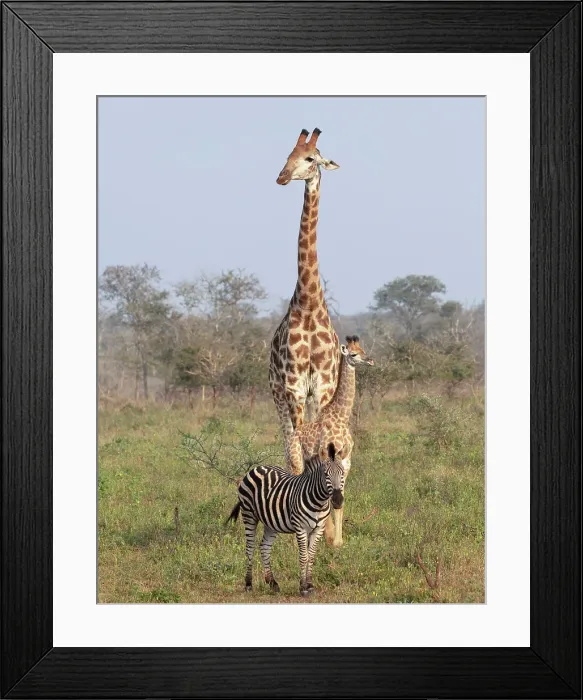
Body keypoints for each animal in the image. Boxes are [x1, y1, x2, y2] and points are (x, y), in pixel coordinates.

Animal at [227, 443, 345, 597]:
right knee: (250, 548)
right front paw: (303, 588)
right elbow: (304, 557)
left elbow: (311, 556)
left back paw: (273, 583)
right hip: (249, 515)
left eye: (343, 473)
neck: (319, 502)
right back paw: (248, 584)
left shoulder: (318, 529)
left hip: (271, 522)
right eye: (326, 474)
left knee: (264, 547)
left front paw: (310, 585)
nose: (338, 501)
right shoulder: (300, 528)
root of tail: (258, 468)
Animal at [296, 335, 374, 547]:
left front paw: (338, 542)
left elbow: (340, 500)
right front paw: (332, 540)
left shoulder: (346, 461)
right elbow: (332, 499)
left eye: (363, 350)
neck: (341, 415)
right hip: (295, 457)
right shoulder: (328, 456)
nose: (371, 361)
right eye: (353, 354)